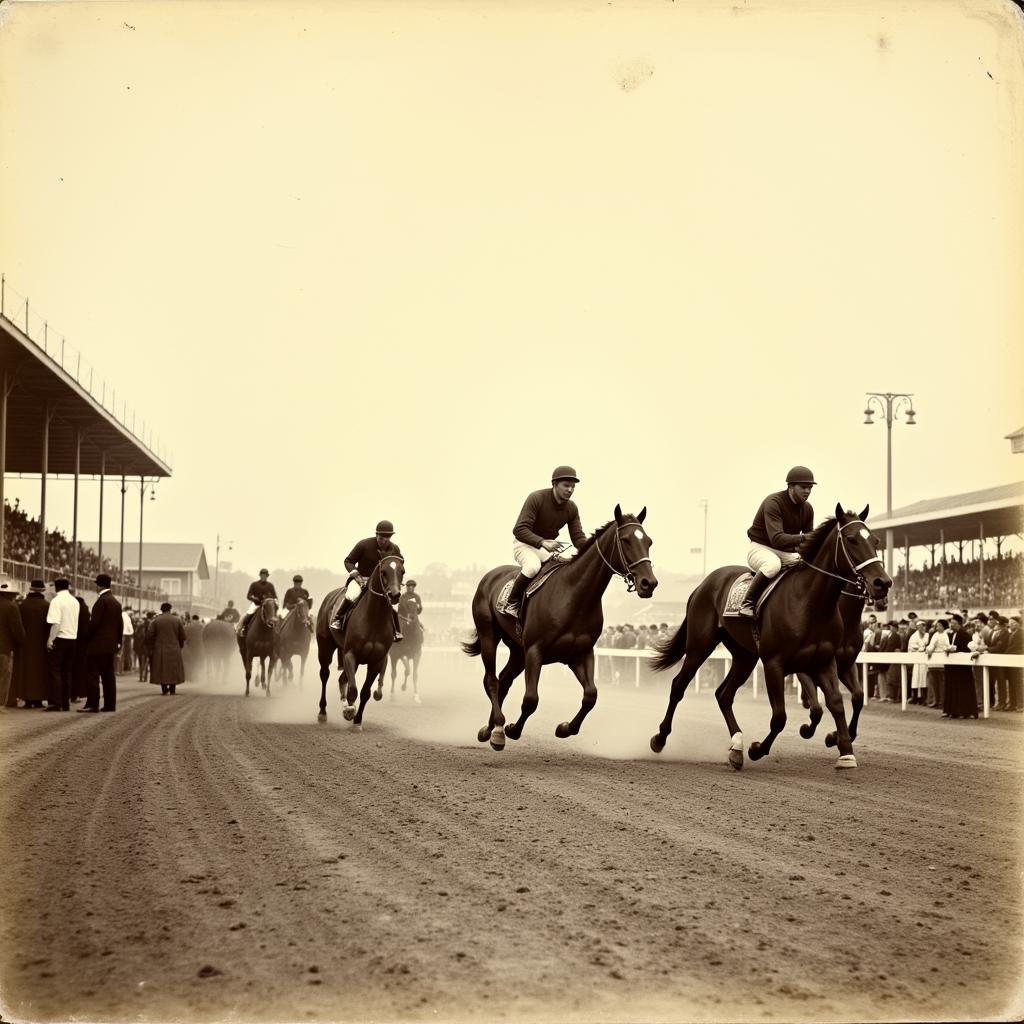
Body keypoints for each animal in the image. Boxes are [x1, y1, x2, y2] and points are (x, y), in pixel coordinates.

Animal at [315, 552, 403, 729]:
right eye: (383, 572)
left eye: (402, 571)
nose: (395, 595)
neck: (374, 618)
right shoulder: (350, 654)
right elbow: (353, 690)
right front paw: (349, 710)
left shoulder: (376, 661)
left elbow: (364, 692)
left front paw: (357, 720)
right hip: (325, 648)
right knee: (325, 674)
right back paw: (323, 712)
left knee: (342, 679)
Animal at [462, 505, 655, 753]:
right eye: (626, 540)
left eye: (649, 541)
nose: (649, 583)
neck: (574, 596)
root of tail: (488, 576)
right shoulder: (535, 651)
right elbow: (531, 699)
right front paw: (512, 729)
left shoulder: (580, 653)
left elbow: (590, 696)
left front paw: (564, 728)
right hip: (489, 635)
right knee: (492, 681)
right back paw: (497, 730)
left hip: (518, 650)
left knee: (504, 680)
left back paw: (490, 728)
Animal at [651, 503, 892, 770]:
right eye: (851, 539)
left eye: (875, 540)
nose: (883, 582)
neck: (811, 604)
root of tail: (703, 584)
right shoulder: (776, 664)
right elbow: (781, 716)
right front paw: (758, 749)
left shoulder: (827, 662)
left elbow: (842, 702)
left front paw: (844, 750)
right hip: (699, 645)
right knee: (679, 685)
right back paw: (660, 738)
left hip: (745, 656)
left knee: (724, 694)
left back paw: (737, 747)